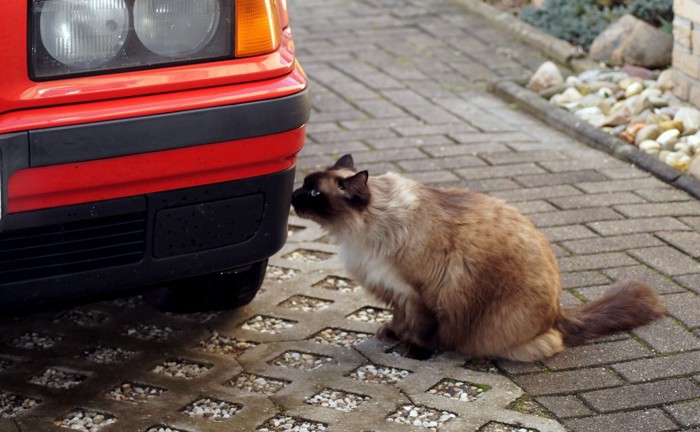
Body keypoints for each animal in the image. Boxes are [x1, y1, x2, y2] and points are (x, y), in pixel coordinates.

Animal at [292, 155, 668, 362]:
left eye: (313, 192)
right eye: (304, 185)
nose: (293, 195)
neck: (363, 232)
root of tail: (559, 311)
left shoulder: (421, 294)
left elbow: (423, 329)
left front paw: (416, 352)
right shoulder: (395, 290)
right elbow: (400, 318)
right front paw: (393, 334)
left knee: (551, 343)